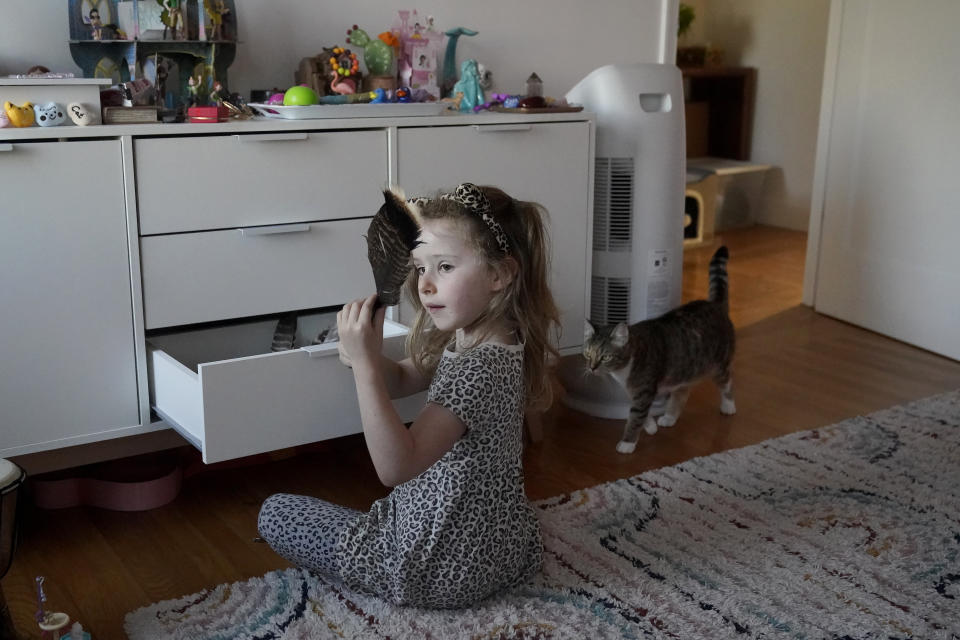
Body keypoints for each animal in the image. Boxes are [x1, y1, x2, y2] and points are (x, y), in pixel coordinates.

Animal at [584, 242, 736, 452]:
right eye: (588, 354)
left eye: (605, 356)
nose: (591, 368)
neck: (624, 371)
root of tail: (716, 305)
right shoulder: (637, 392)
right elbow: (641, 413)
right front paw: (651, 426)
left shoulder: (644, 390)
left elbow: (635, 417)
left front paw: (627, 443)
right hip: (686, 368)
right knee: (682, 392)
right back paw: (669, 417)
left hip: (718, 364)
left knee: (726, 381)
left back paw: (728, 406)